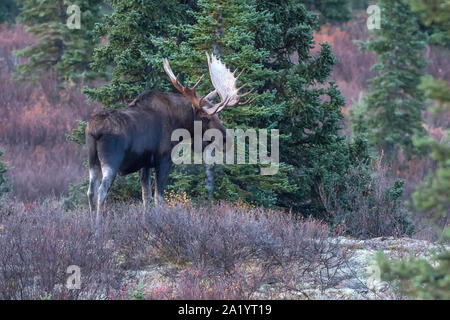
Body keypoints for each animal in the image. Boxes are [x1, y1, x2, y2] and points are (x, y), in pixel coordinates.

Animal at [85, 52, 253, 224]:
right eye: (206, 118)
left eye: (218, 116)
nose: (227, 141)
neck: (178, 122)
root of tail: (94, 130)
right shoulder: (164, 159)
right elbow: (159, 197)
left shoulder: (145, 164)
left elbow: (146, 196)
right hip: (111, 161)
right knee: (102, 191)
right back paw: (99, 224)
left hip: (93, 161)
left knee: (91, 191)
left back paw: (91, 223)